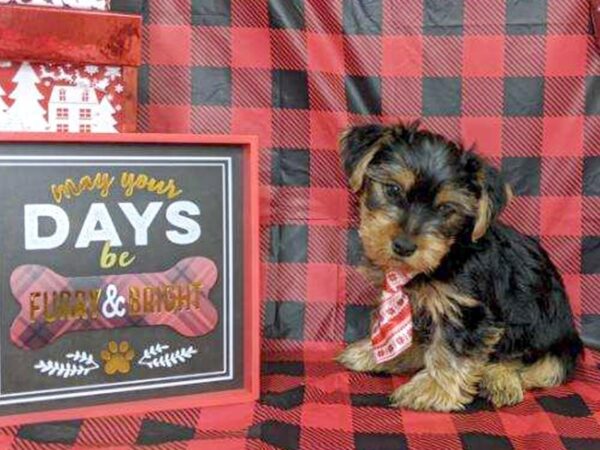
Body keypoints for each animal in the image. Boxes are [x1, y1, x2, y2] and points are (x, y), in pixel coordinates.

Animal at [336, 121, 584, 410]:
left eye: (446, 209)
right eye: (393, 190)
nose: (404, 246)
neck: (447, 254)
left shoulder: (466, 309)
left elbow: (450, 350)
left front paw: (432, 389)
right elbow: (407, 333)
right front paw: (381, 354)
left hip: (557, 344)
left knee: (537, 367)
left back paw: (500, 379)